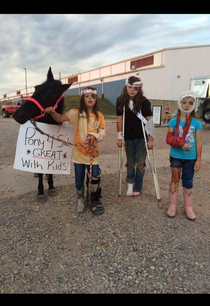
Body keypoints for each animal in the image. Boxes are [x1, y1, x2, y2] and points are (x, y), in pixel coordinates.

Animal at [13, 67, 72, 201]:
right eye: (36, 88)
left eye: (51, 95)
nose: (18, 114)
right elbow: (39, 169)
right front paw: (40, 191)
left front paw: (51, 186)